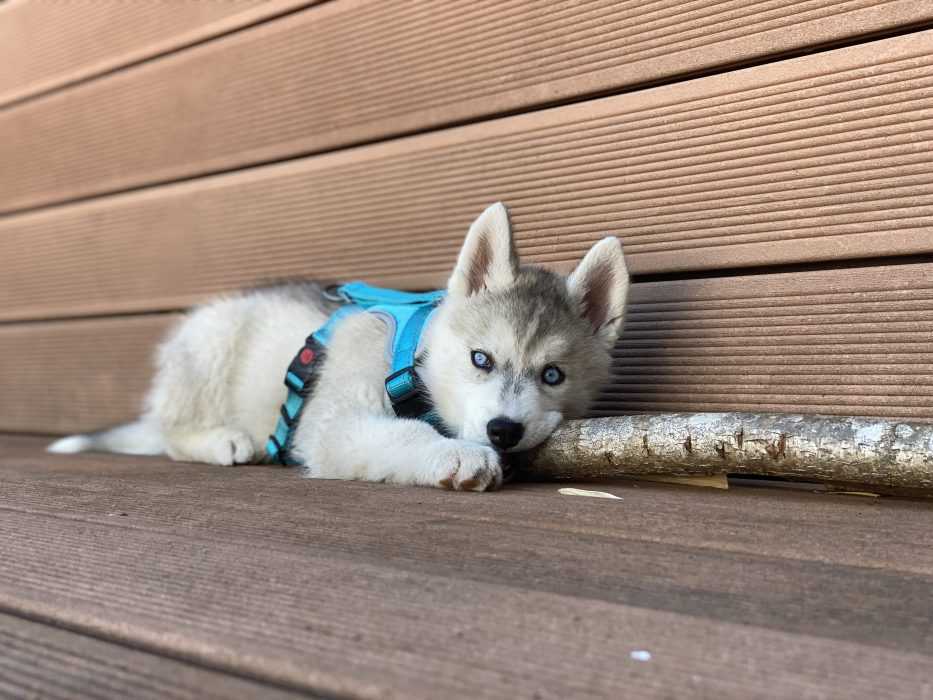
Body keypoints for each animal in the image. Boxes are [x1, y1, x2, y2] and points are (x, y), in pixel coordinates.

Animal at [52, 202, 632, 490]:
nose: (503, 431)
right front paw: (457, 453)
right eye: (480, 359)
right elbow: (401, 435)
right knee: (171, 433)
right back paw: (221, 440)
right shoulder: (334, 423)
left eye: (553, 375)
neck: (413, 360)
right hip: (208, 343)